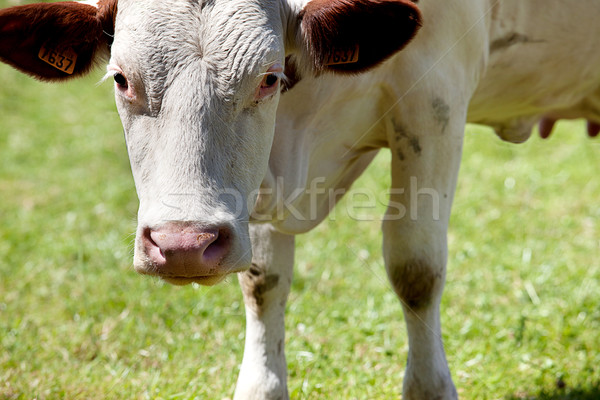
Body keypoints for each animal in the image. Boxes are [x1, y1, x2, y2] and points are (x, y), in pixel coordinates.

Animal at [1, 0, 600, 398]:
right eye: (121, 79)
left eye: (269, 78)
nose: (183, 245)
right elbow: (263, 280)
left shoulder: (435, 104)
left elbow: (416, 267)